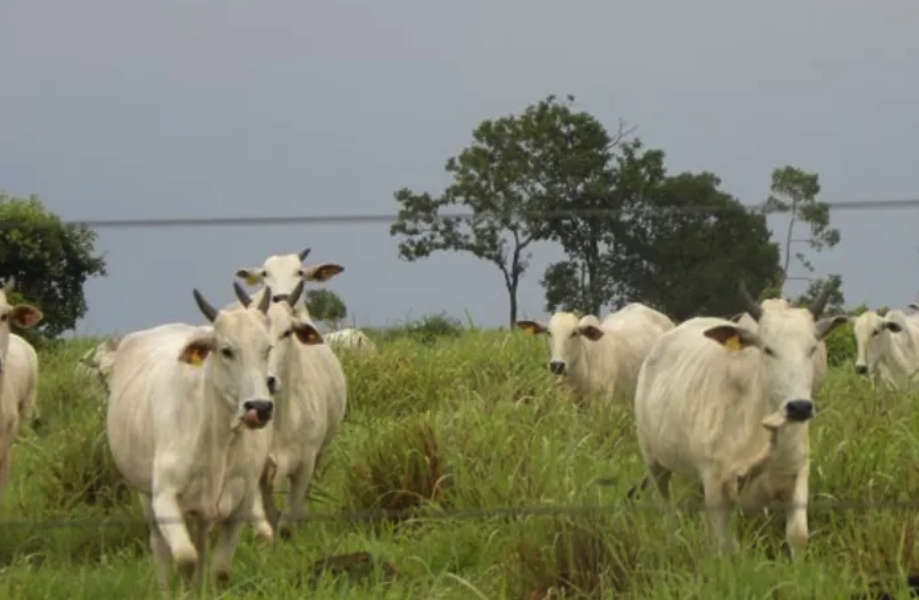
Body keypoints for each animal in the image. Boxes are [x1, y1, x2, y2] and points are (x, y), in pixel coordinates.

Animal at [106, 286, 324, 592]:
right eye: (226, 351)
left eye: (266, 349)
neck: (217, 438)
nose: (260, 406)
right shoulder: (165, 498)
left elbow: (219, 569)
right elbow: (186, 558)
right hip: (146, 495)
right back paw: (163, 588)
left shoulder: (240, 506)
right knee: (160, 547)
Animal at [636, 284, 844, 560]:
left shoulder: (798, 473)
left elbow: (798, 537)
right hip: (654, 464)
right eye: (768, 349)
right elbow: (725, 546)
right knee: (666, 509)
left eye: (812, 348)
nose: (799, 407)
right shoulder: (716, 482)